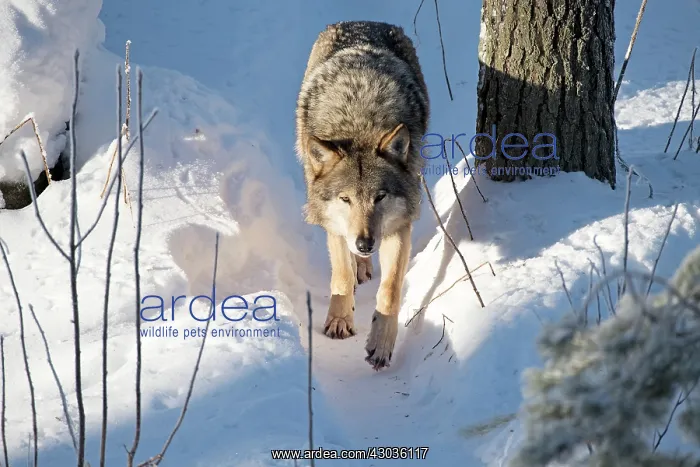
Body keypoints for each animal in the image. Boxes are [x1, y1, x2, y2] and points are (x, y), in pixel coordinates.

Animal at [295, 21, 429, 370]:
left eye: (380, 197)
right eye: (346, 200)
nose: (365, 243)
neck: (360, 124)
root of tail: (364, 21)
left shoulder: (399, 225)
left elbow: (391, 290)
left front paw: (381, 344)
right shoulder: (334, 223)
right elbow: (341, 275)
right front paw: (339, 321)